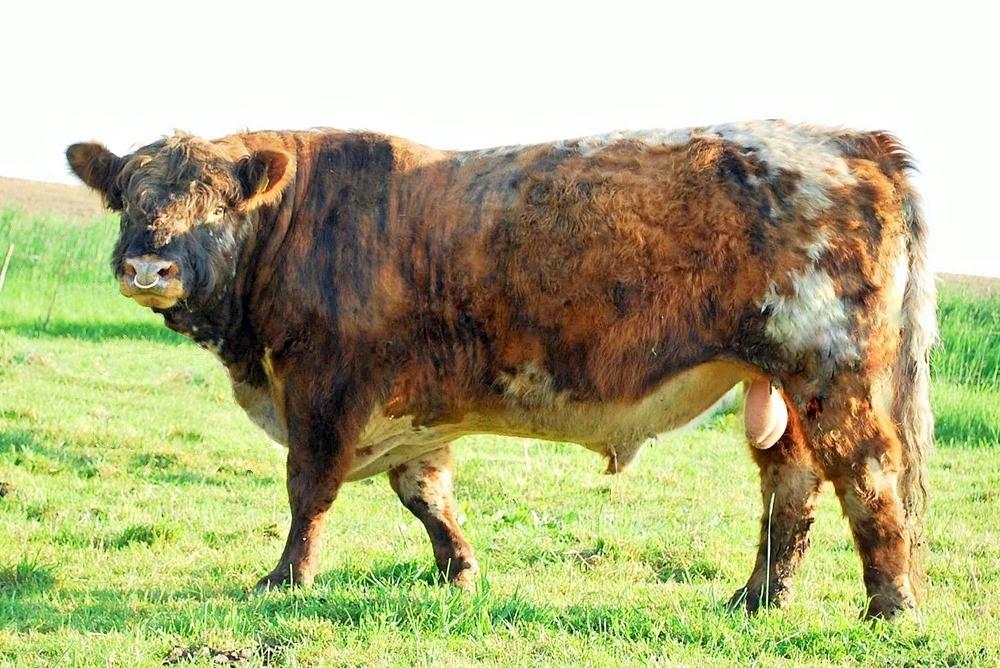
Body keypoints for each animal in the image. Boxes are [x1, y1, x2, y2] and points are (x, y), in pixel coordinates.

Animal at [66, 120, 935, 619]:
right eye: (128, 195)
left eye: (215, 202)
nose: (148, 267)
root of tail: (855, 142)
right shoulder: (411, 407)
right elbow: (424, 490)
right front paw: (457, 570)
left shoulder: (324, 388)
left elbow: (309, 490)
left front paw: (285, 580)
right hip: (779, 386)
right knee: (791, 487)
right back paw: (757, 599)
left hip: (833, 374)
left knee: (867, 478)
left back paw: (890, 608)